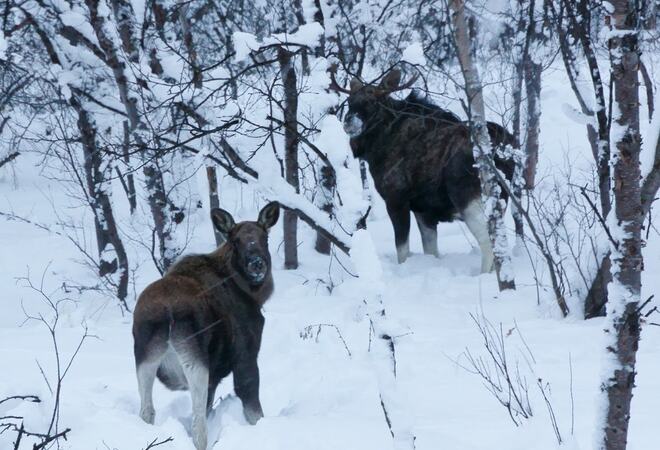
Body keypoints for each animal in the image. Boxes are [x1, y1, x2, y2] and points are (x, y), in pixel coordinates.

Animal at [133, 201, 280, 450]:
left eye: (265, 237)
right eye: (235, 241)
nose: (257, 264)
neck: (252, 294)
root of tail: (166, 313)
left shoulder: (215, 375)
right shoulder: (245, 356)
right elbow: (253, 408)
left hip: (145, 357)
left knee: (146, 411)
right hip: (195, 360)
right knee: (198, 425)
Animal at [332, 67, 512, 270]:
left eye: (372, 102)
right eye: (349, 102)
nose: (349, 121)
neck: (377, 147)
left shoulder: (396, 199)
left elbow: (402, 249)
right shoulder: (424, 211)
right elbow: (431, 250)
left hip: (467, 196)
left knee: (488, 241)